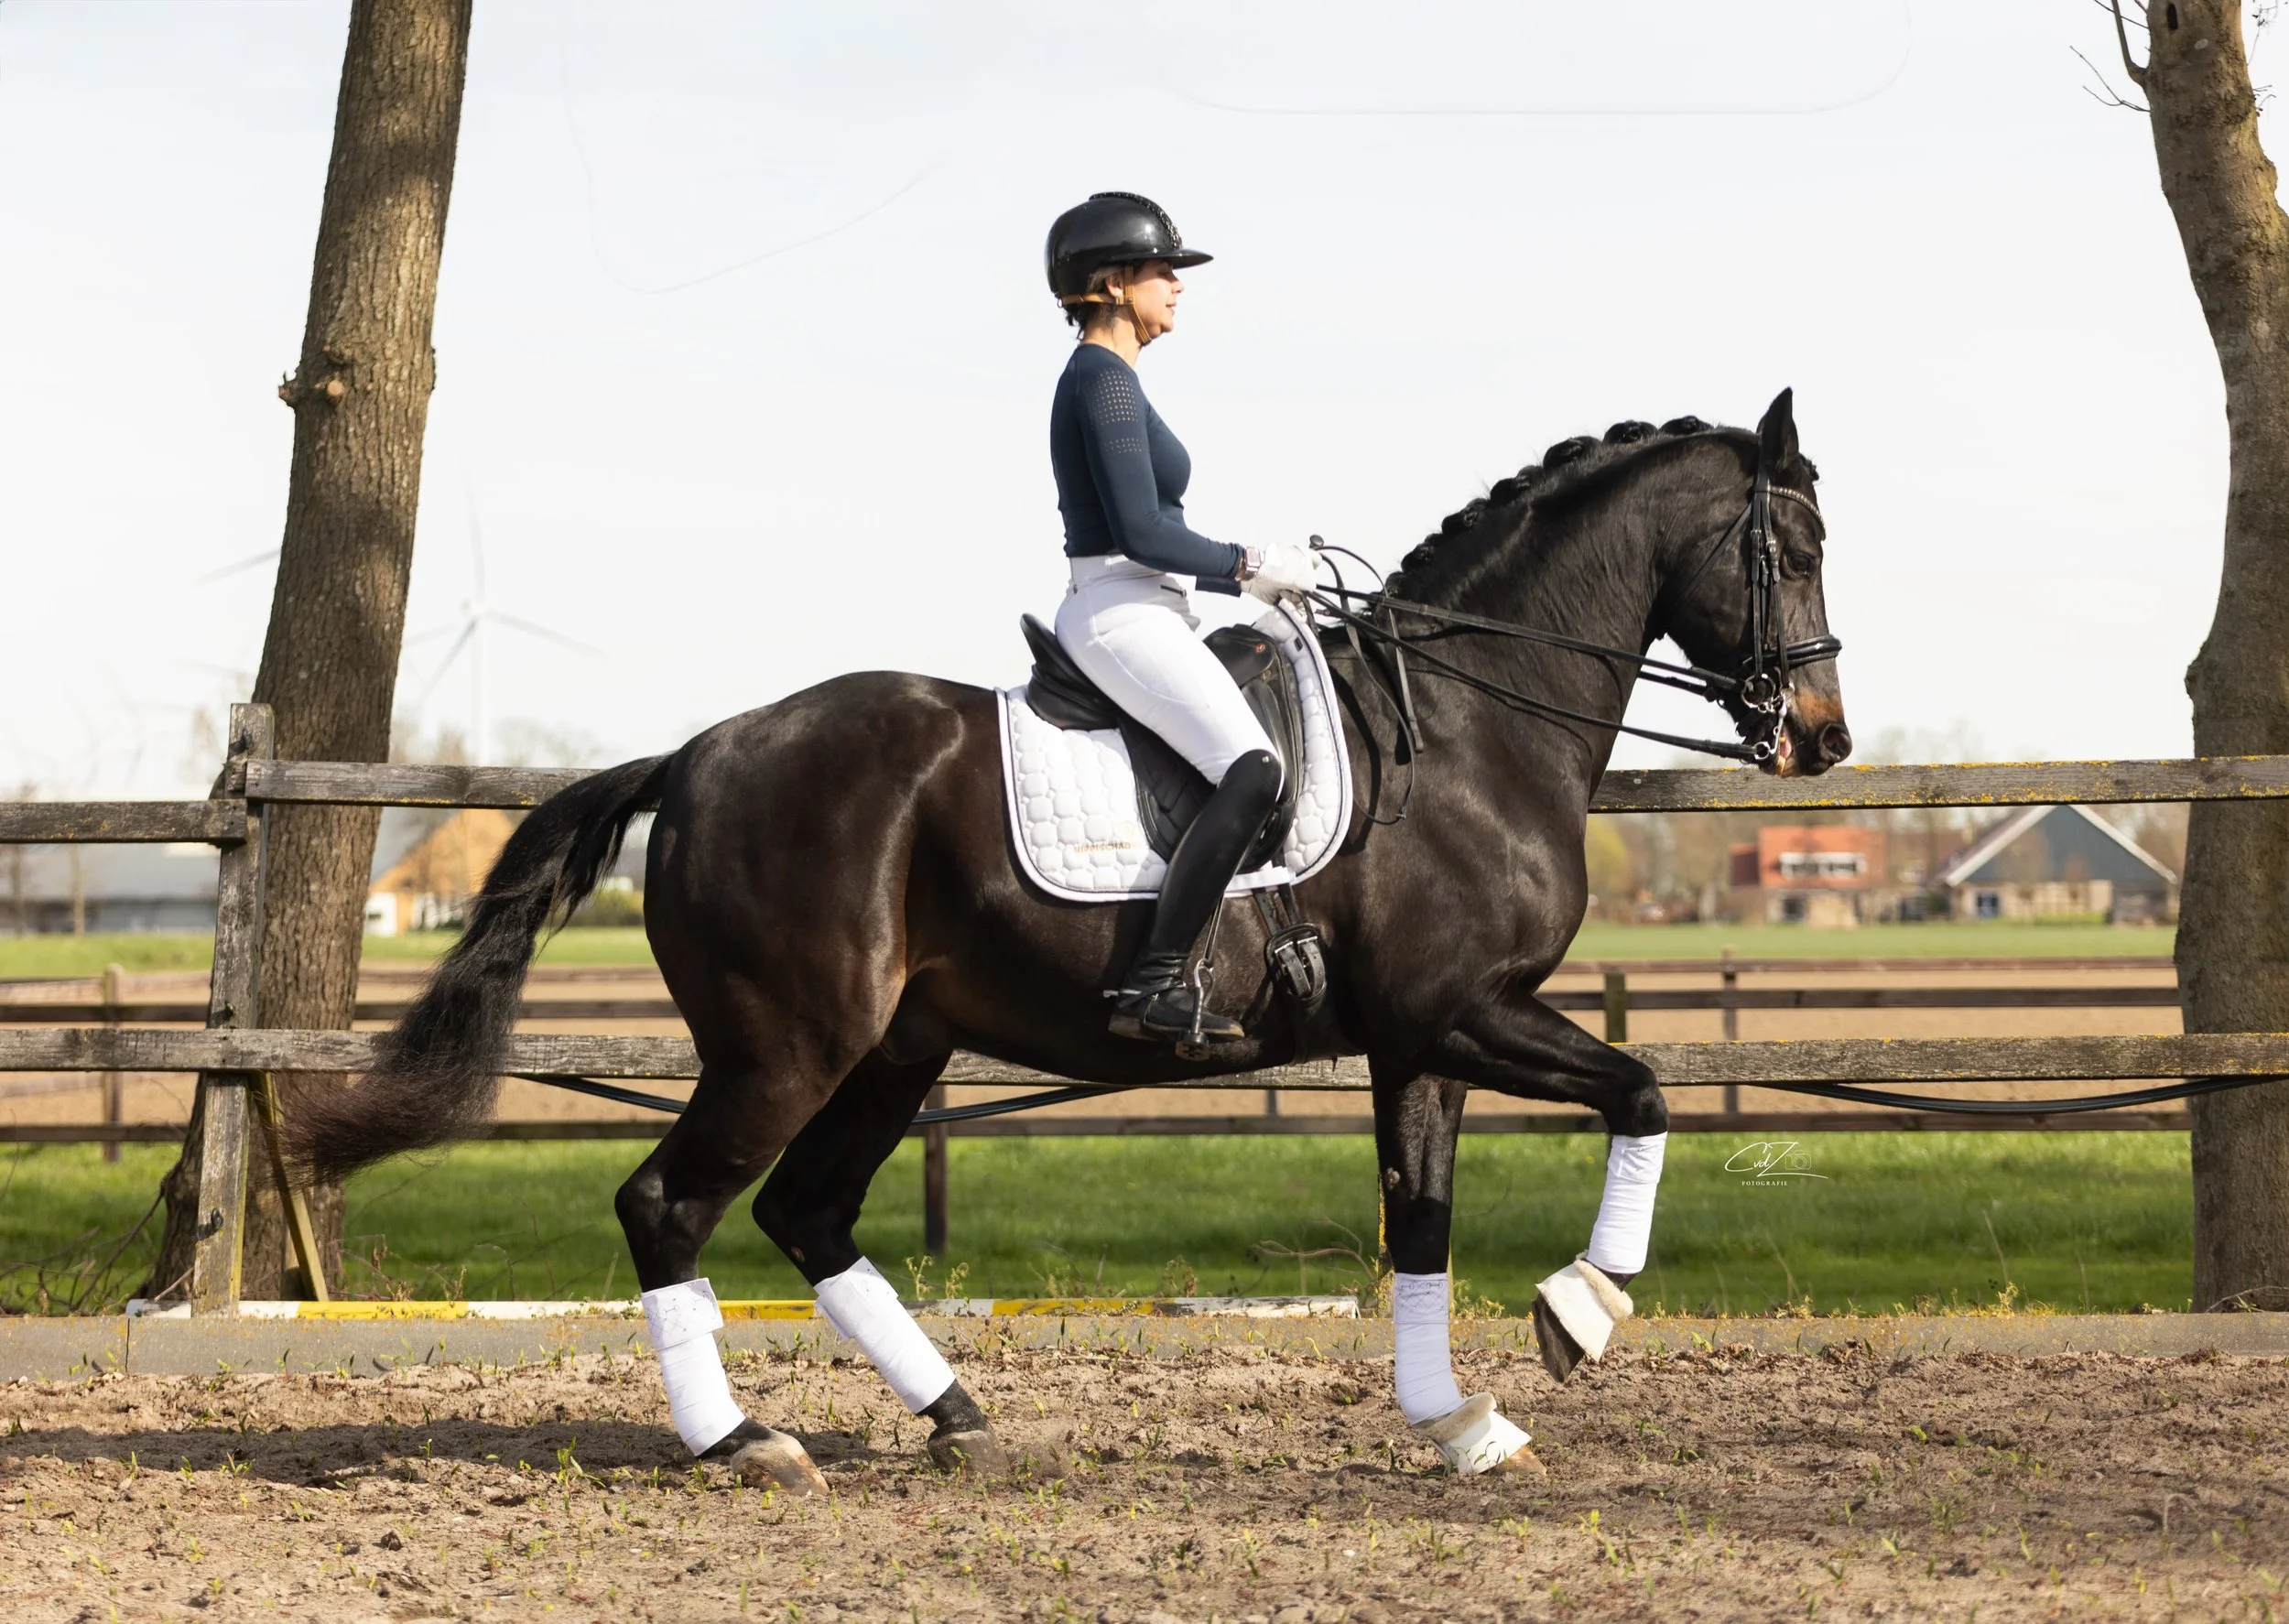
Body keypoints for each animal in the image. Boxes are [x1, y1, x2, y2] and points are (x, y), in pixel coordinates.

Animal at [289, 389, 1849, 1492]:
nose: (1823, 740)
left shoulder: (1424, 1037)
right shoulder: (1461, 1010)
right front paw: (1581, 1312)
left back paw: (959, 1413)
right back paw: (741, 1441)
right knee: (670, 1204)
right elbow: (1643, 1092)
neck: (1466, 729)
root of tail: (697, 753)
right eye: (1797, 547)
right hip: (789, 1045)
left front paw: (1457, 1421)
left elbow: (1422, 1218)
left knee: (808, 1211)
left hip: (898, 1047)